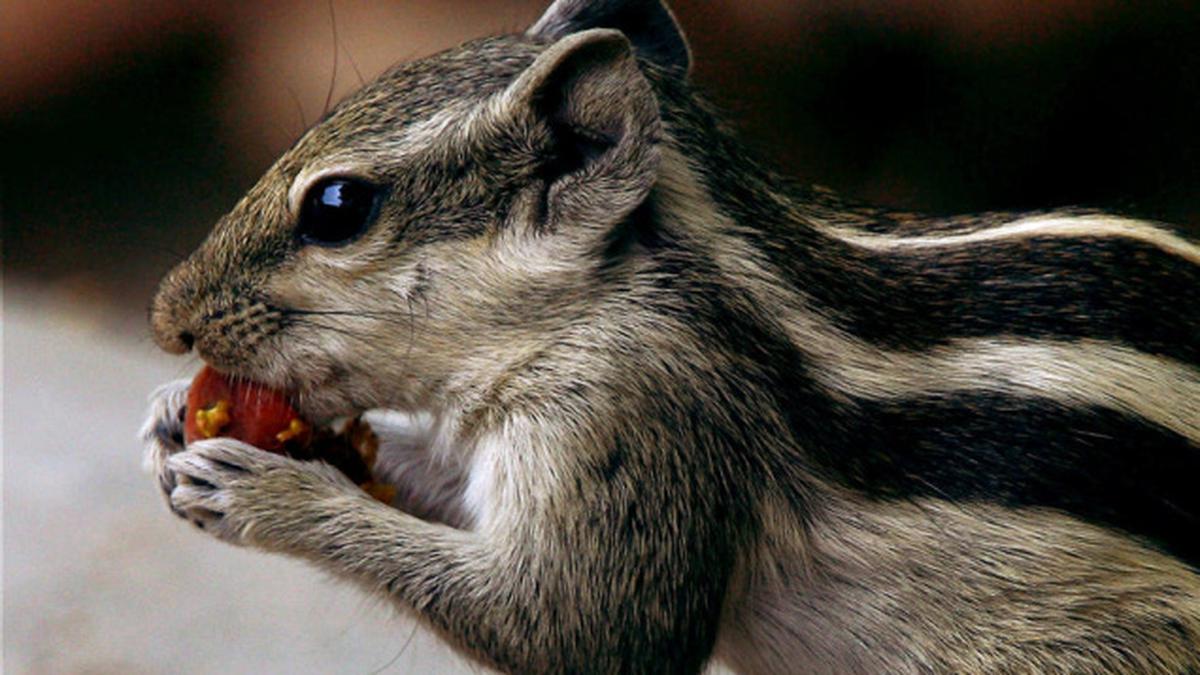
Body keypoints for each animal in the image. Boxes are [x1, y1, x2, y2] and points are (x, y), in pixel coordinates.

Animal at [140, 1, 1200, 667]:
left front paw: (267, 492)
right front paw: (168, 418)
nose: (166, 317)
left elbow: (578, 627)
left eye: (338, 207)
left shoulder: (635, 413)